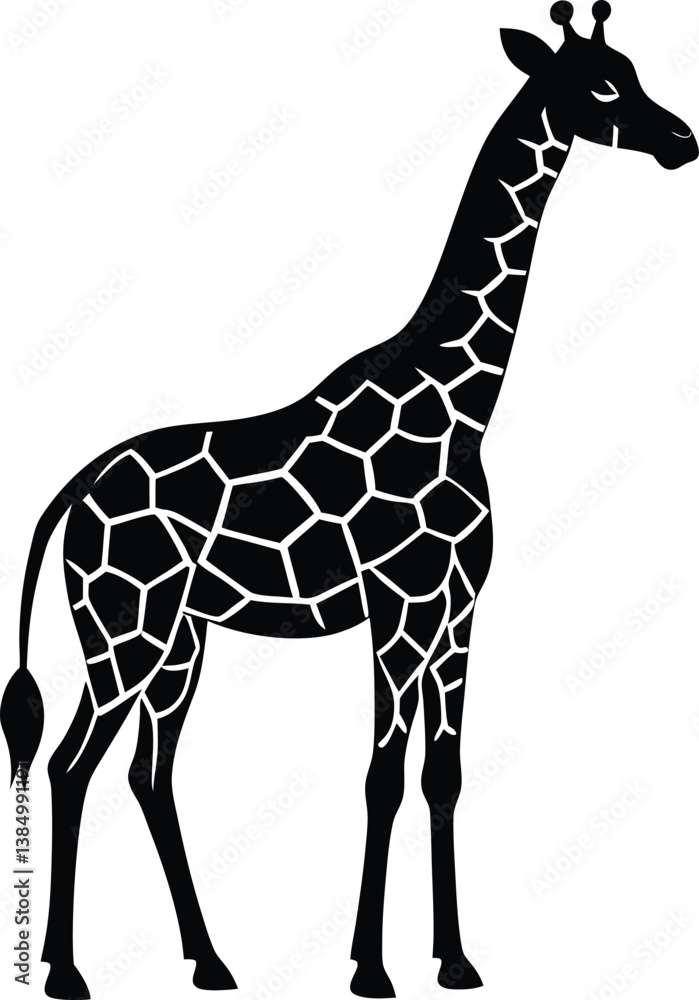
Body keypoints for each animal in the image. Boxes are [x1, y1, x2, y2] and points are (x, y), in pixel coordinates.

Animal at [1, 4, 696, 998]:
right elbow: (380, 775)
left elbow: (441, 772)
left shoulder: (456, 608)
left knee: (147, 773)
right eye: (601, 85)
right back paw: (66, 971)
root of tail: (77, 488)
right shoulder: (396, 606)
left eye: (634, 71)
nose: (681, 140)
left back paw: (210, 960)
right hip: (123, 629)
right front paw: (370, 966)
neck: (462, 402)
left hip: (181, 638)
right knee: (69, 763)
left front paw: (455, 959)